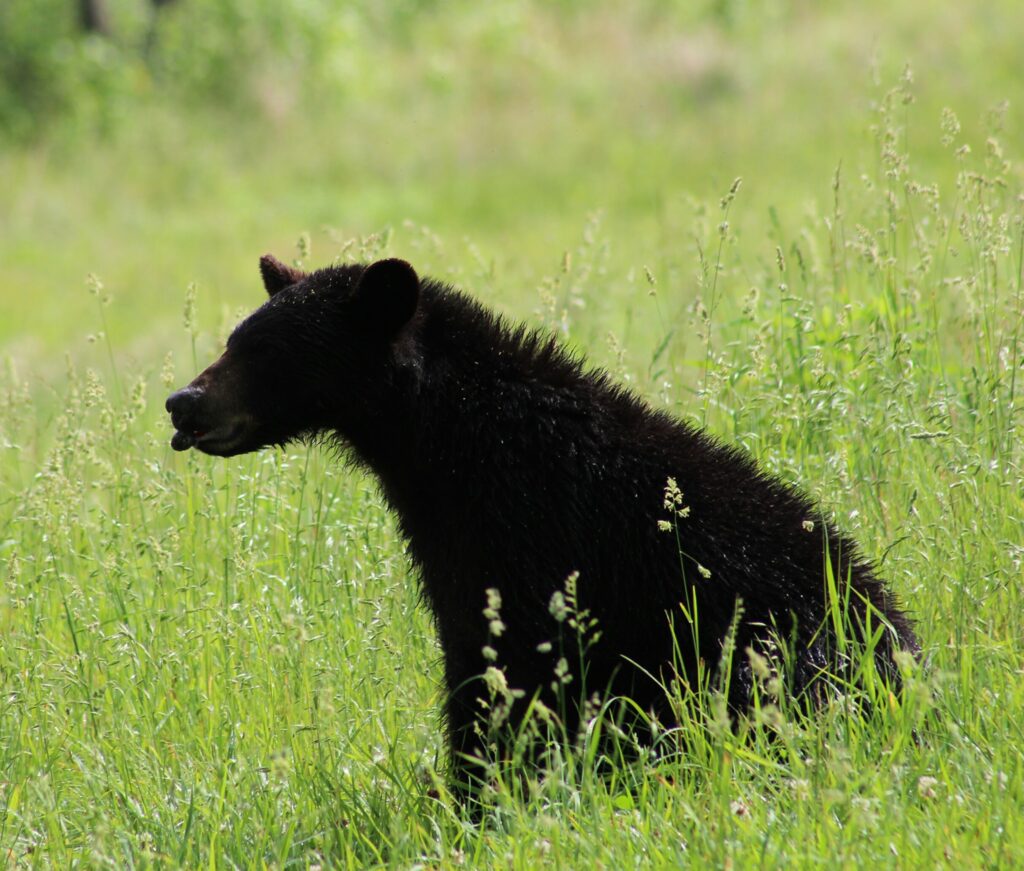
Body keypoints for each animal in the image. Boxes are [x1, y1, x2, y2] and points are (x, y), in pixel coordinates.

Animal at [166, 255, 918, 796]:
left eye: (264, 350)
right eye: (236, 338)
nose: (183, 400)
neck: (455, 441)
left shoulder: (517, 545)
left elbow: (496, 668)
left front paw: (476, 795)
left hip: (768, 658)